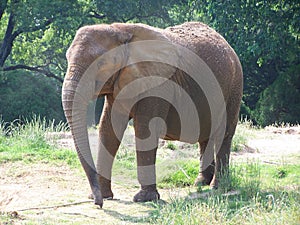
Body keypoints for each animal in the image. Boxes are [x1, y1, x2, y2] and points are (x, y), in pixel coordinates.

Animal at [61, 21, 244, 207]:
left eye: (101, 63)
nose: (97, 204)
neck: (120, 30)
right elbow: (108, 130)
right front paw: (104, 196)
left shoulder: (158, 83)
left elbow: (144, 131)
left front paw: (144, 199)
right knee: (206, 136)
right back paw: (200, 183)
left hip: (234, 85)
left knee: (224, 133)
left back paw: (218, 186)